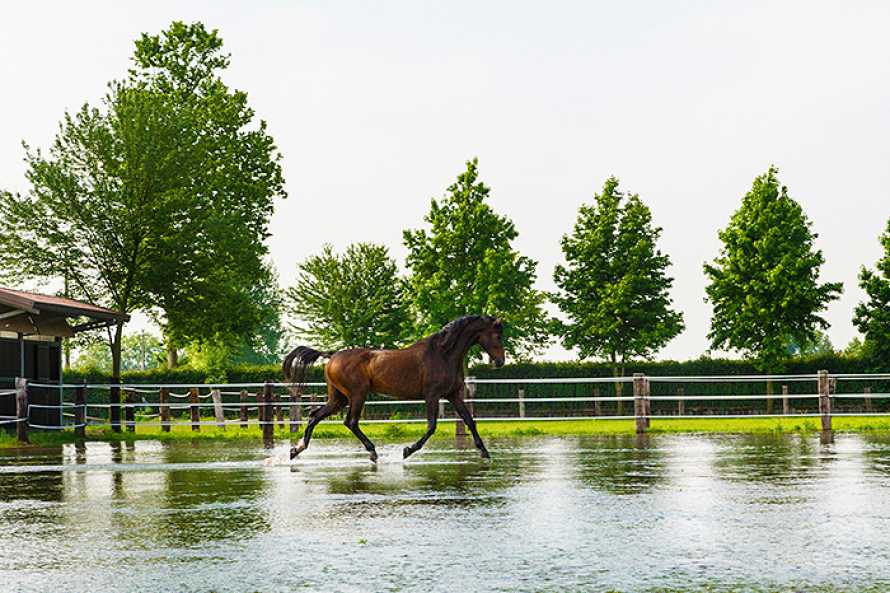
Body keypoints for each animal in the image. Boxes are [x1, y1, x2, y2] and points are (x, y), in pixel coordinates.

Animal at [282, 315, 505, 462]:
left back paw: (296, 450)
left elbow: (470, 421)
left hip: (339, 398)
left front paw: (485, 452)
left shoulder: (453, 395)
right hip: (357, 394)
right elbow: (432, 426)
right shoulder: (432, 395)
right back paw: (372, 452)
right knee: (350, 422)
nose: (500, 362)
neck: (443, 354)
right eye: (497, 336)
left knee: (315, 416)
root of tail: (332, 356)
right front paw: (407, 450)